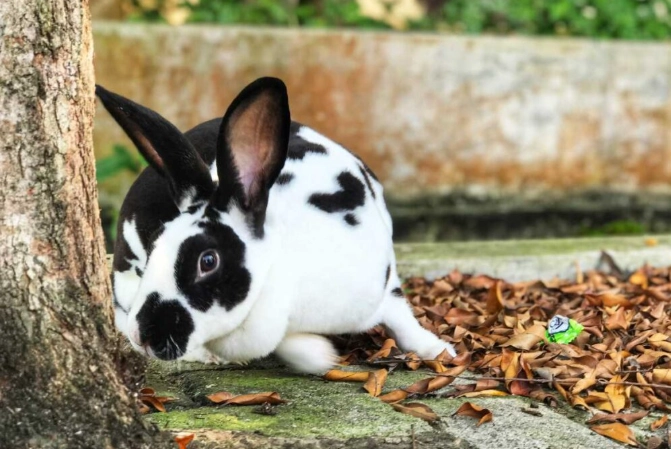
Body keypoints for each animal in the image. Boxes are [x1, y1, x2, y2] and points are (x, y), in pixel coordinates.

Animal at [97, 77, 456, 374]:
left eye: (207, 261)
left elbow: (401, 316)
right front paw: (320, 354)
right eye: (155, 245)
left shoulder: (384, 281)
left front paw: (439, 350)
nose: (142, 335)